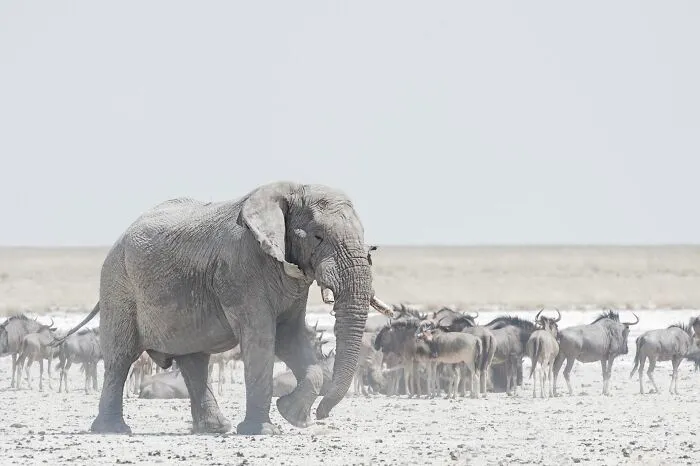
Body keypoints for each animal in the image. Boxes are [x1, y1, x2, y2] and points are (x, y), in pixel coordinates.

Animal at [55, 181, 393, 436]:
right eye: (318, 236)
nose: (322, 415)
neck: (290, 191)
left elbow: (290, 338)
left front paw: (293, 416)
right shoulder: (241, 269)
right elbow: (262, 338)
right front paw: (263, 430)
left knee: (194, 360)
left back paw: (216, 429)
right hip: (118, 284)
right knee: (121, 357)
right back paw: (112, 430)